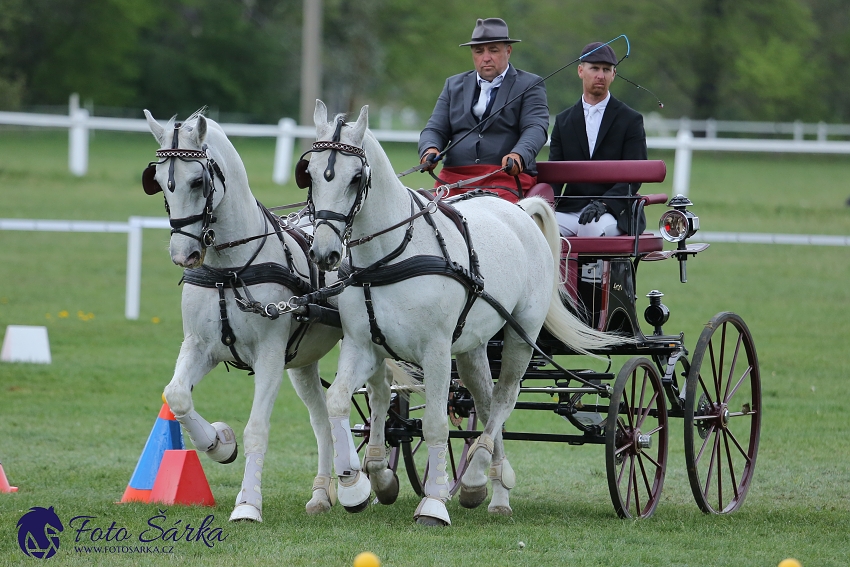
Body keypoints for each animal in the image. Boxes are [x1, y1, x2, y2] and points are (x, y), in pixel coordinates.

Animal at [142, 111, 390, 524]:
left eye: (198, 181)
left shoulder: (270, 355)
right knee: (322, 420)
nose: (183, 255)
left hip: (368, 343)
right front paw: (219, 442)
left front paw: (247, 504)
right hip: (303, 363)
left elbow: (257, 429)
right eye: (159, 181)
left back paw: (374, 473)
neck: (230, 269)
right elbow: (176, 396)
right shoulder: (199, 346)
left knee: (381, 397)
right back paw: (323, 493)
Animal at [304, 98, 624, 528]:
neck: (390, 255)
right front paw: (358, 485)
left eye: (356, 178)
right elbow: (341, 401)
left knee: (505, 397)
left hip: (521, 334)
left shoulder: (436, 351)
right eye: (309, 175)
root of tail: (518, 210)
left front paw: (433, 504)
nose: (324, 253)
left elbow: (437, 425)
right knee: (485, 401)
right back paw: (492, 490)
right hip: (473, 345)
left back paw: (478, 476)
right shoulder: (363, 345)